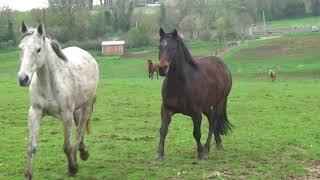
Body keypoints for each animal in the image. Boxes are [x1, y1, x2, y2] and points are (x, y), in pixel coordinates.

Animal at [155, 27, 232, 164]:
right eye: (160, 47)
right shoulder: (166, 109)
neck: (180, 84)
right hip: (207, 107)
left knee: (214, 121)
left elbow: (196, 133)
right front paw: (159, 156)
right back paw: (216, 144)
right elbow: (163, 130)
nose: (162, 68)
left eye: (173, 48)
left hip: (219, 102)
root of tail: (224, 66)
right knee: (212, 120)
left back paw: (207, 149)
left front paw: (200, 153)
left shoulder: (196, 113)